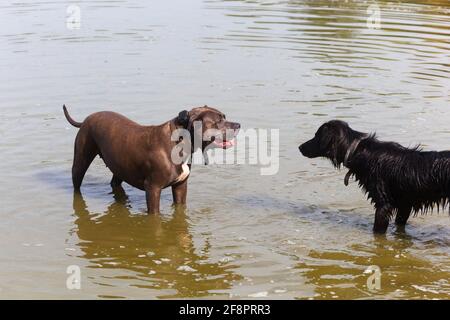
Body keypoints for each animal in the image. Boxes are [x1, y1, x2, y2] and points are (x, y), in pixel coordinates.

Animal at [63, 106, 241, 214]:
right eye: (218, 121)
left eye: (224, 117)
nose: (238, 125)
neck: (180, 142)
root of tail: (87, 119)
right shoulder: (153, 189)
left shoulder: (180, 186)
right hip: (81, 160)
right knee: (77, 182)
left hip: (120, 166)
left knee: (115, 182)